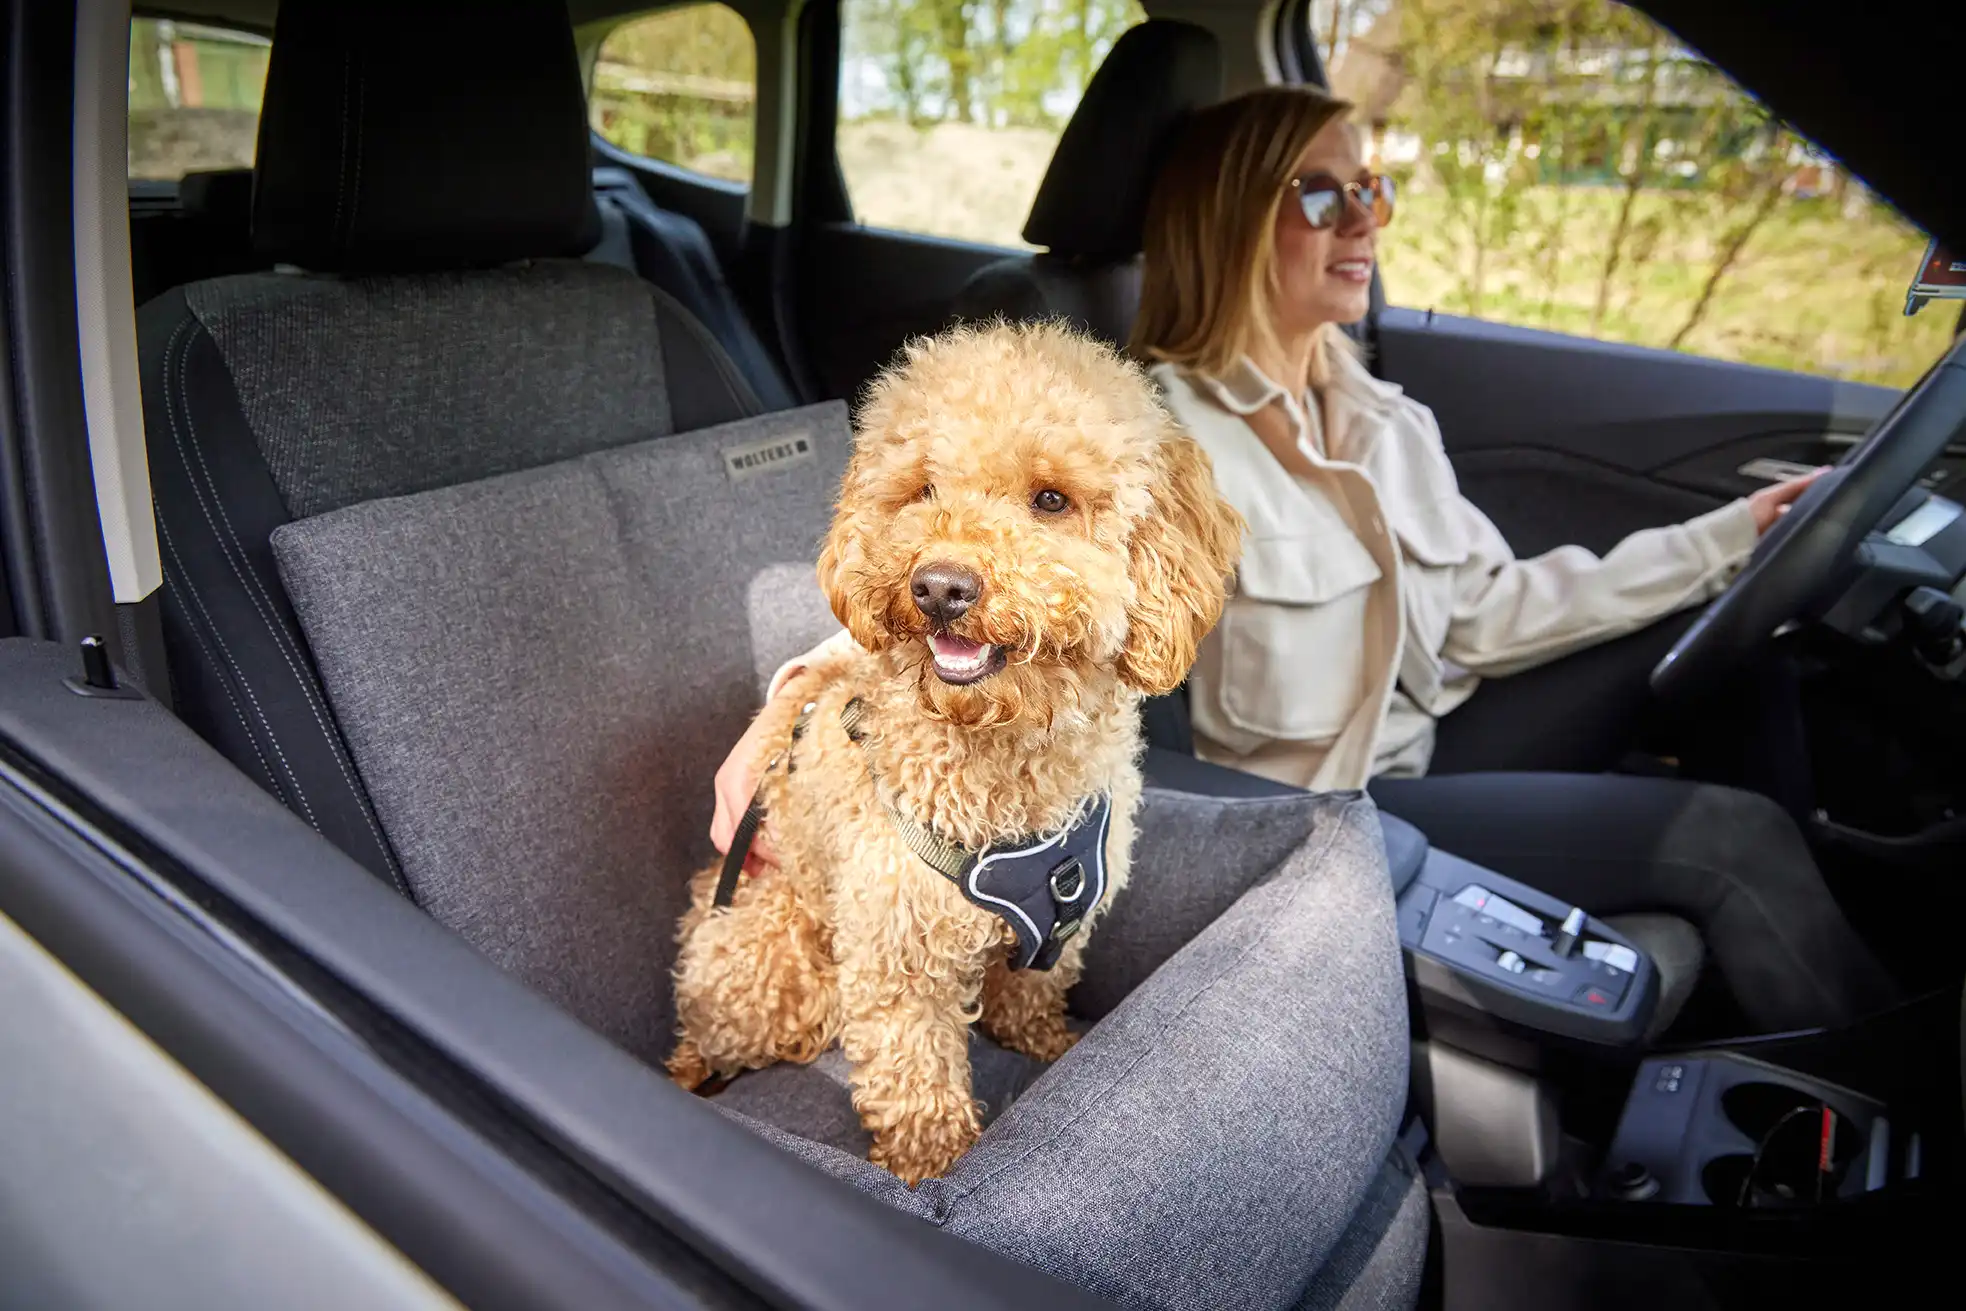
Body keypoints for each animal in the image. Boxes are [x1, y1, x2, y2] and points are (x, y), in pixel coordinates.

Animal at [668, 320, 1234, 1187]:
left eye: (1051, 499)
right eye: (923, 490)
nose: (939, 586)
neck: (998, 755)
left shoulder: (1065, 920)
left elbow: (1034, 991)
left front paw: (1043, 1042)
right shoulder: (893, 954)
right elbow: (915, 1074)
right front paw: (933, 1164)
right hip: (771, 962)